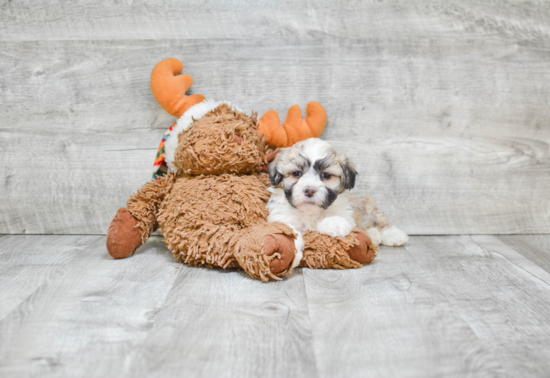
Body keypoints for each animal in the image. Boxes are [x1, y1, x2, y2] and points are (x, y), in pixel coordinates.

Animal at [268, 138, 410, 266]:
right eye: (297, 173)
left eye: (325, 175)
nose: (309, 190)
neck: (311, 212)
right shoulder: (282, 217)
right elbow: (288, 230)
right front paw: (292, 254)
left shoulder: (346, 212)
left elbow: (339, 219)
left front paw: (334, 225)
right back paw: (374, 236)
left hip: (365, 207)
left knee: (377, 219)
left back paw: (395, 235)